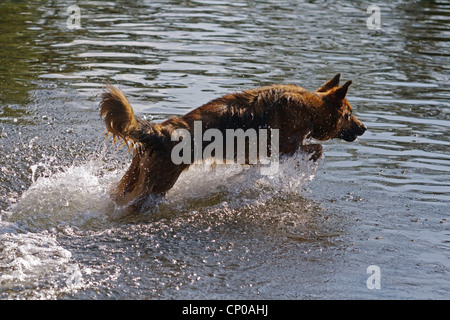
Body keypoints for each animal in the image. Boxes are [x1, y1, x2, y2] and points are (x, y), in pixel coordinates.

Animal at [99, 74, 366, 209]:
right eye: (349, 114)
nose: (364, 128)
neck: (311, 107)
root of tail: (161, 131)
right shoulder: (286, 148)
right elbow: (316, 148)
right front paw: (309, 160)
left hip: (135, 177)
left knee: (117, 194)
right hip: (157, 185)